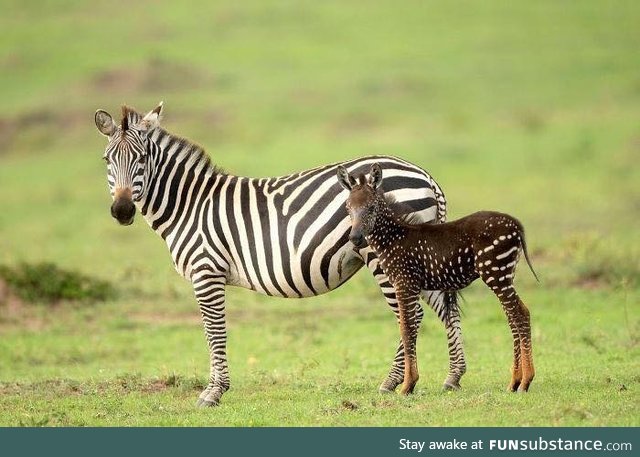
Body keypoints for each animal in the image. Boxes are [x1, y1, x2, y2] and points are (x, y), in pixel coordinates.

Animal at [94, 101, 464, 404]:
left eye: (142, 159)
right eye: (107, 160)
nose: (122, 210)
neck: (189, 205)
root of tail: (424, 175)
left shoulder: (206, 271)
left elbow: (215, 331)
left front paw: (213, 392)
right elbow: (211, 331)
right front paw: (215, 388)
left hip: (386, 254)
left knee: (410, 314)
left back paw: (395, 382)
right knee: (441, 308)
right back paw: (452, 377)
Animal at [338, 164, 536, 396]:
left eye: (370, 208)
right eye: (348, 207)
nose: (355, 238)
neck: (393, 238)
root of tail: (516, 225)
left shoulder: (405, 283)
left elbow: (406, 329)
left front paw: (407, 385)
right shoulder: (410, 285)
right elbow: (409, 327)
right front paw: (409, 383)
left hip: (495, 272)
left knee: (520, 314)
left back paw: (526, 381)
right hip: (505, 274)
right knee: (513, 316)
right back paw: (514, 382)